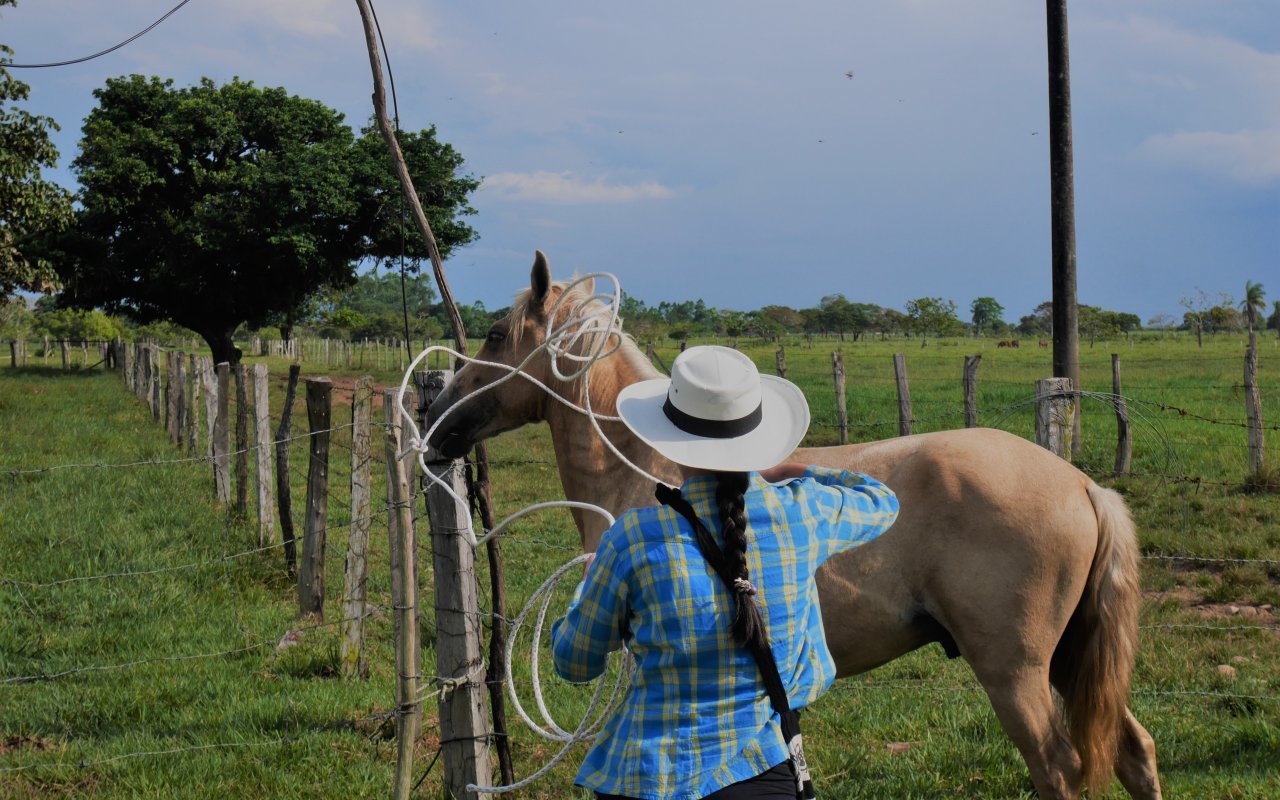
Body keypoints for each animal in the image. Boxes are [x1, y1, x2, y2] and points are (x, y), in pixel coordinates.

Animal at [425, 252, 1162, 800]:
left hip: (1017, 672)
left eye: (494, 337)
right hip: (1069, 658)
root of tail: (1082, 485)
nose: (435, 424)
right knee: (1134, 751)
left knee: (1057, 771)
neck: (650, 463)